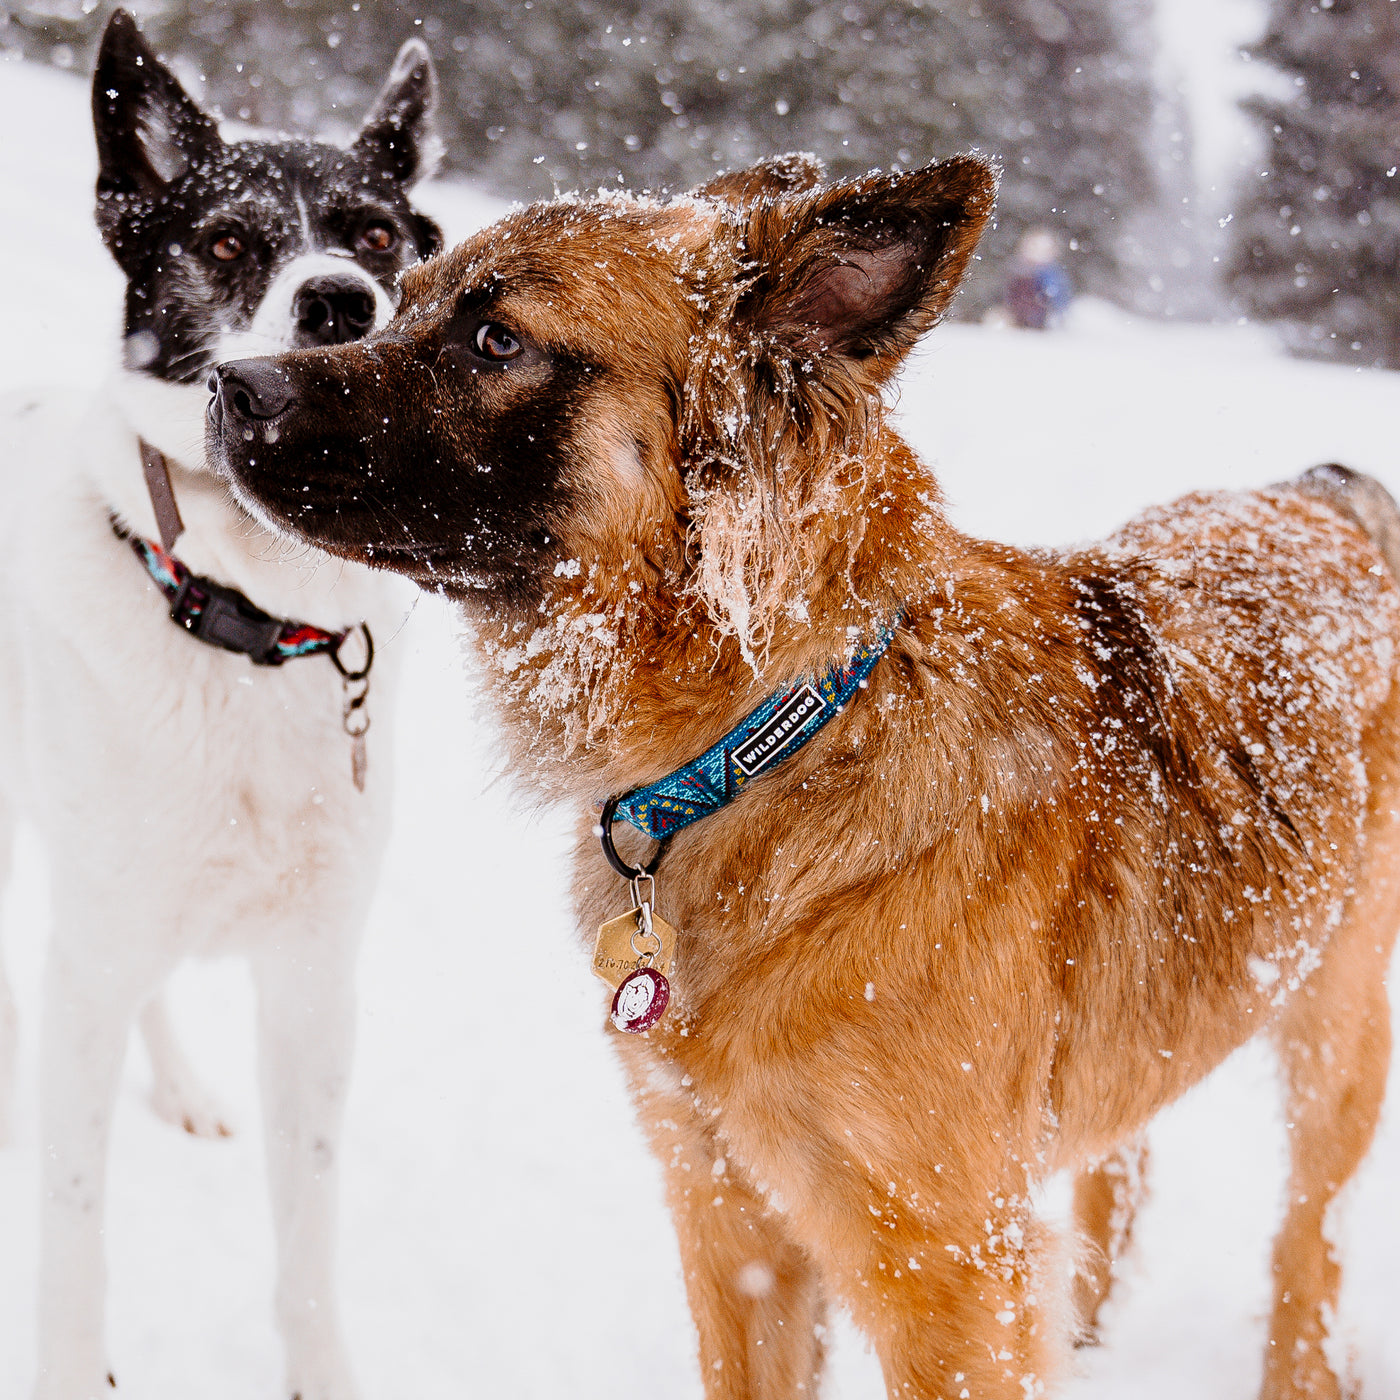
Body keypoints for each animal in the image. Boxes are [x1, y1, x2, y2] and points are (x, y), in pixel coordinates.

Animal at [0, 13, 442, 1400]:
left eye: (373, 234)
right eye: (230, 243)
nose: (339, 301)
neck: (244, 624)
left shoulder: (313, 982)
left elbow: (306, 1238)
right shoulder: (92, 956)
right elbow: (73, 1231)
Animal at [204, 158, 1400, 1394]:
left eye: (495, 339)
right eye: (403, 301)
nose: (228, 385)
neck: (779, 737)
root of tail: (1319, 494)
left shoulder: (942, 1271)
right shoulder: (730, 1219)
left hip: (1337, 1039)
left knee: (1308, 1246)